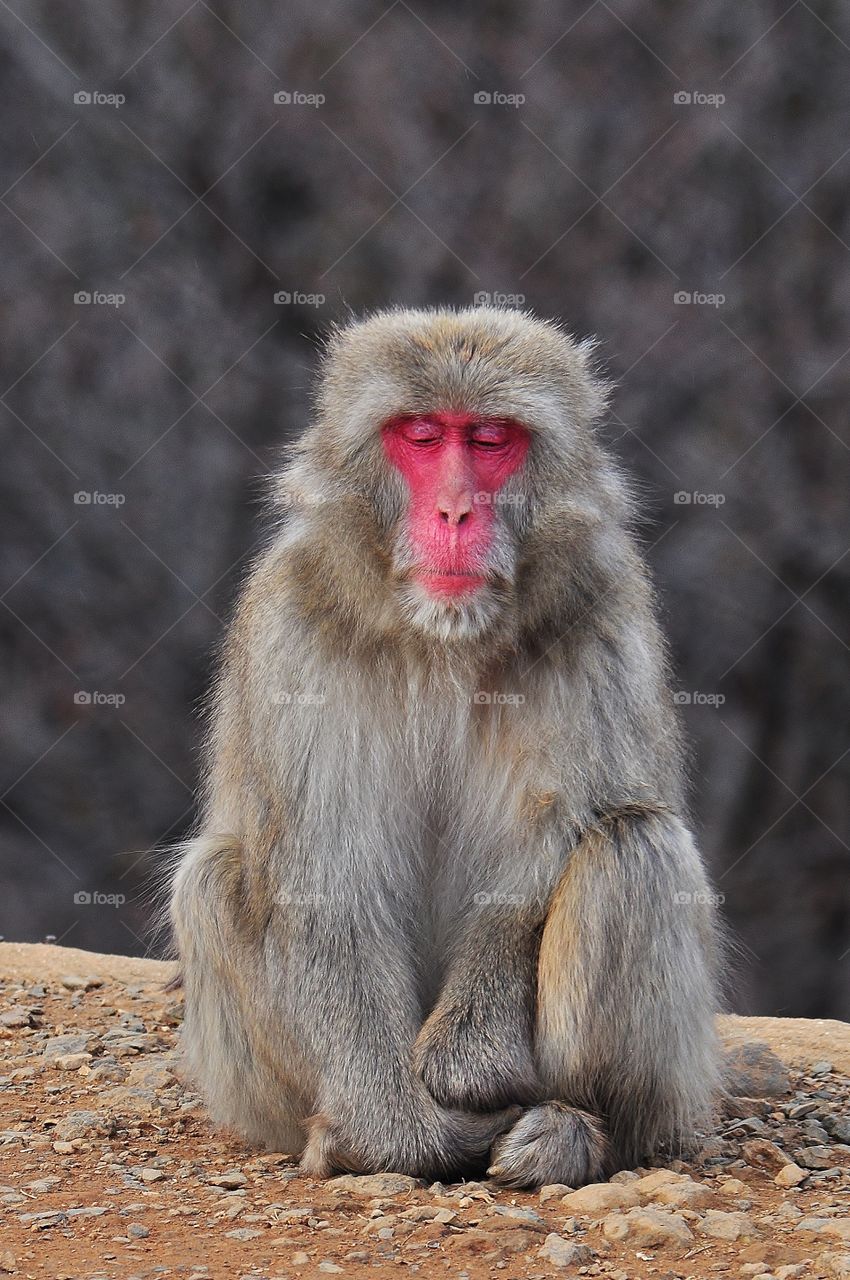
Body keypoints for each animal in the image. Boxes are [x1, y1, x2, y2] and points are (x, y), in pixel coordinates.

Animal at [169, 305, 721, 1188]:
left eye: (491, 440)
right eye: (423, 436)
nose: (456, 513)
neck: (442, 641)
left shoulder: (600, 607)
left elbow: (550, 838)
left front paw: (473, 1056)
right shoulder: (292, 624)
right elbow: (326, 878)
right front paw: (403, 1134)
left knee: (633, 844)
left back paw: (577, 1129)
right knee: (216, 878)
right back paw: (340, 1138)